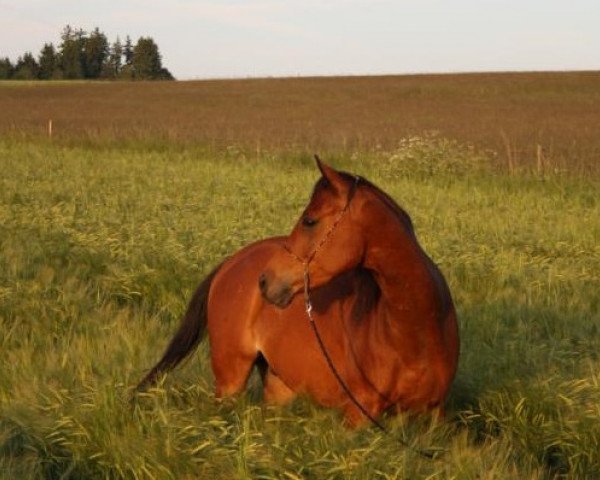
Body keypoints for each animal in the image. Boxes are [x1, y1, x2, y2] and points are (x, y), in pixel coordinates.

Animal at [138, 157, 460, 424]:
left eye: (309, 221)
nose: (266, 281)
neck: (412, 330)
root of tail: (232, 262)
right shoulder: (359, 414)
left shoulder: (435, 416)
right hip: (230, 381)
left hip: (278, 384)